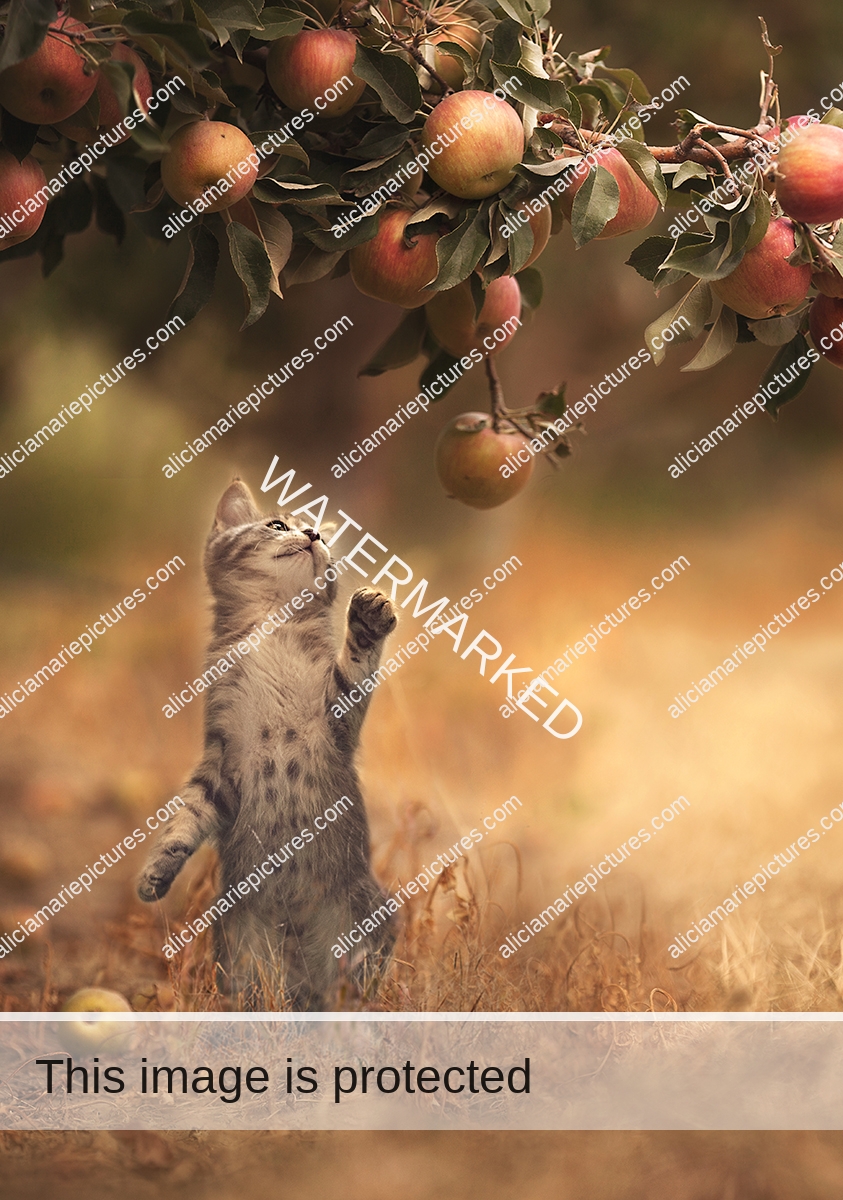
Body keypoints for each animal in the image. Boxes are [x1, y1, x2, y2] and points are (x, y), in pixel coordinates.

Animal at [139, 472, 398, 1008]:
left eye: (318, 532)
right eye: (277, 524)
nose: (315, 535)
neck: (272, 631)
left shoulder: (337, 720)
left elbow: (355, 669)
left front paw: (367, 620)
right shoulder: (220, 755)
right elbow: (186, 815)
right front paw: (158, 870)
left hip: (368, 922)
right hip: (242, 944)